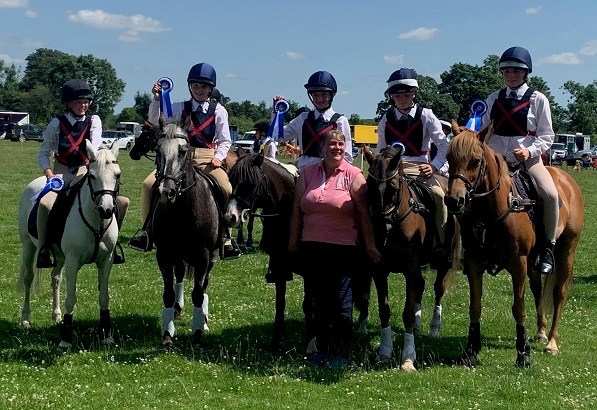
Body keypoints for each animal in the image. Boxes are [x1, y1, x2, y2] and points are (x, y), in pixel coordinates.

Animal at [16, 139, 121, 348]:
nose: (106, 209)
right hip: (28, 247)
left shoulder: (106, 261)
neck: (96, 222)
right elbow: (71, 298)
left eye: (117, 174)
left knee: (56, 279)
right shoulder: (73, 262)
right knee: (28, 278)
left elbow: (104, 297)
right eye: (92, 175)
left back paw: (56, 315)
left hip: (59, 256)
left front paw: (106, 335)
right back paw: (26, 318)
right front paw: (65, 338)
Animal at [151, 118, 224, 346]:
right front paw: (167, 334)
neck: (182, 210)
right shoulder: (164, 253)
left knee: (204, 285)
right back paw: (177, 310)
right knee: (180, 276)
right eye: (157, 149)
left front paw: (198, 332)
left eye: (183, 151)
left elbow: (199, 293)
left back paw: (204, 320)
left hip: (211, 256)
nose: (166, 192)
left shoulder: (203, 255)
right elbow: (168, 293)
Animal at [222, 152, 300, 350]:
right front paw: (276, 340)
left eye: (249, 183)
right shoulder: (279, 266)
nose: (230, 217)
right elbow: (280, 302)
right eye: (231, 180)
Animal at [360, 145, 458, 372]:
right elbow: (385, 310)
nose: (381, 225)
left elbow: (406, 313)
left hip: (443, 262)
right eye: (369, 186)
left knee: (438, 289)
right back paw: (419, 323)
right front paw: (384, 352)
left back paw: (434, 327)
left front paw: (408, 358)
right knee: (421, 288)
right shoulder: (380, 271)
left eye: (393, 187)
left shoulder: (411, 270)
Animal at [444, 122, 584, 368]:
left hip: (567, 250)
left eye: (476, 161)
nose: (454, 200)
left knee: (559, 292)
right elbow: (475, 306)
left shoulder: (518, 264)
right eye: (448, 158)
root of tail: (567, 181)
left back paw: (551, 342)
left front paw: (523, 354)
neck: (494, 209)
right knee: (538, 288)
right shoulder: (473, 262)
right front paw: (471, 351)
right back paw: (540, 332)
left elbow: (518, 309)